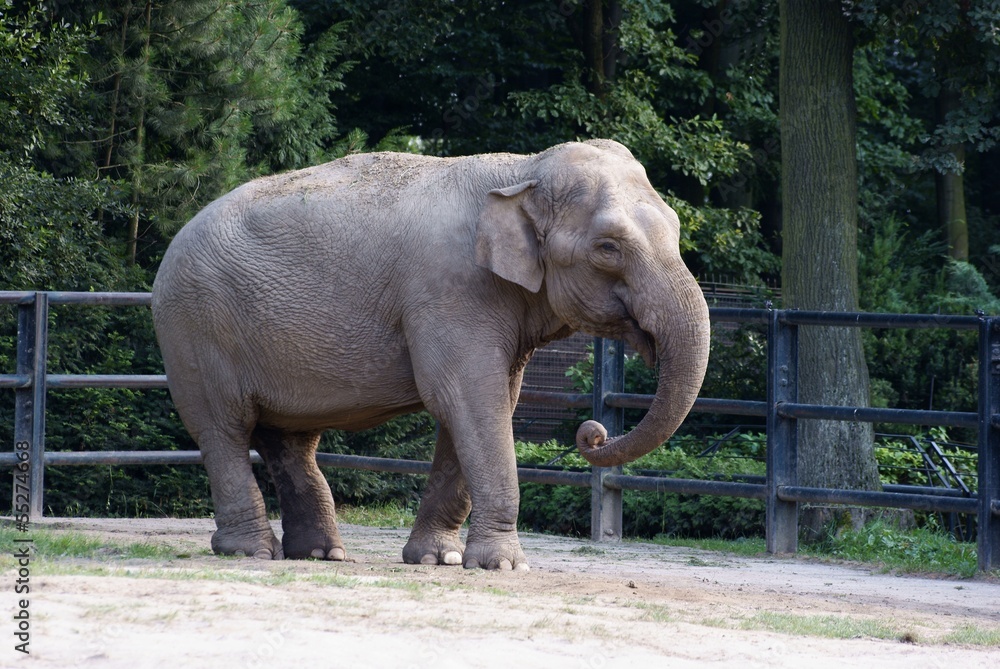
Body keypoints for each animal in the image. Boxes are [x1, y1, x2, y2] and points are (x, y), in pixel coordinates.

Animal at [151, 139, 710, 571]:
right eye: (608, 248)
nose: (593, 433)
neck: (522, 170)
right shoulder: (449, 291)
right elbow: (468, 399)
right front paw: (503, 566)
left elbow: (488, 405)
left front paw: (438, 559)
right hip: (194, 329)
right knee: (224, 429)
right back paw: (251, 553)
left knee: (290, 441)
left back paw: (320, 555)